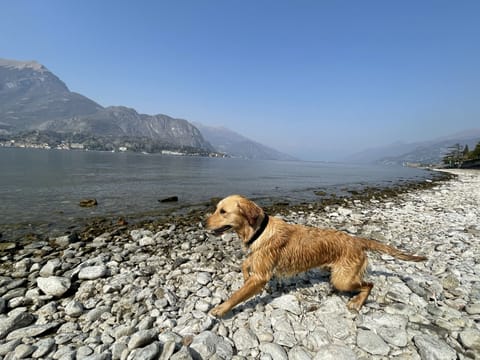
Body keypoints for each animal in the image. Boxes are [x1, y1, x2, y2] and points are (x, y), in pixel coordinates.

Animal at [206, 195, 428, 316]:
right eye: (216, 209)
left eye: (223, 211)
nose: (203, 222)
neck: (260, 230)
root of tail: (357, 240)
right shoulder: (259, 258)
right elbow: (245, 264)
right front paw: (244, 275)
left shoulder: (262, 274)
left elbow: (237, 294)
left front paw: (222, 308)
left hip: (343, 279)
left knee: (369, 284)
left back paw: (357, 302)